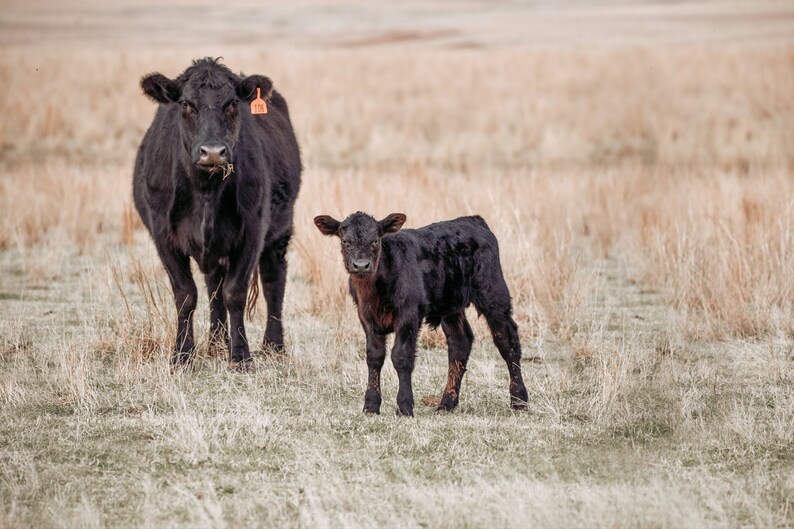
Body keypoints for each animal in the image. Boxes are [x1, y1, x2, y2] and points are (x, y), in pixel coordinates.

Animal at [133, 57, 301, 372]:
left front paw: (241, 357)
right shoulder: (163, 235)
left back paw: (273, 345)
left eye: (232, 103)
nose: (212, 152)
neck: (205, 192)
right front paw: (182, 355)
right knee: (214, 286)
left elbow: (234, 292)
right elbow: (186, 294)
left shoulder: (253, 231)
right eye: (186, 104)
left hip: (280, 230)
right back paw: (215, 342)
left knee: (274, 280)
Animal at [313, 212, 528, 416]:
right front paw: (371, 406)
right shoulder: (366, 317)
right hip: (451, 305)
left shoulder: (409, 314)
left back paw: (519, 400)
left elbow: (401, 356)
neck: (374, 290)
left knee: (507, 341)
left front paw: (404, 407)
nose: (360, 265)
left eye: (375, 240)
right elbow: (374, 357)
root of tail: (473, 220)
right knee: (460, 343)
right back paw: (446, 403)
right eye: (345, 241)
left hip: (492, 293)